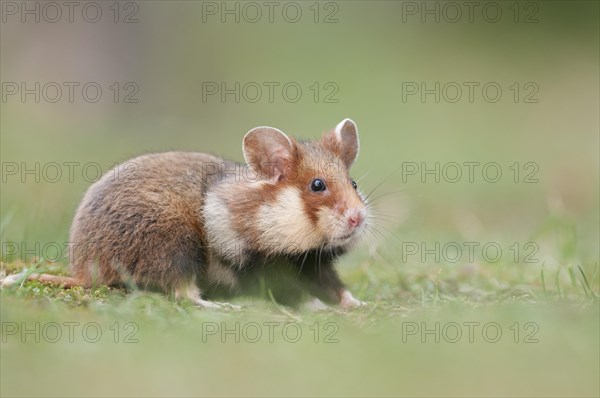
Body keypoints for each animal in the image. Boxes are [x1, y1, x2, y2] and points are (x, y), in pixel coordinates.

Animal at [5, 119, 370, 310]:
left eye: (353, 182)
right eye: (317, 185)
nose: (358, 219)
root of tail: (84, 273)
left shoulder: (315, 264)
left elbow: (336, 287)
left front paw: (357, 304)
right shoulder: (263, 266)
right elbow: (295, 294)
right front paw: (320, 309)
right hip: (175, 247)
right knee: (184, 294)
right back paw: (223, 307)